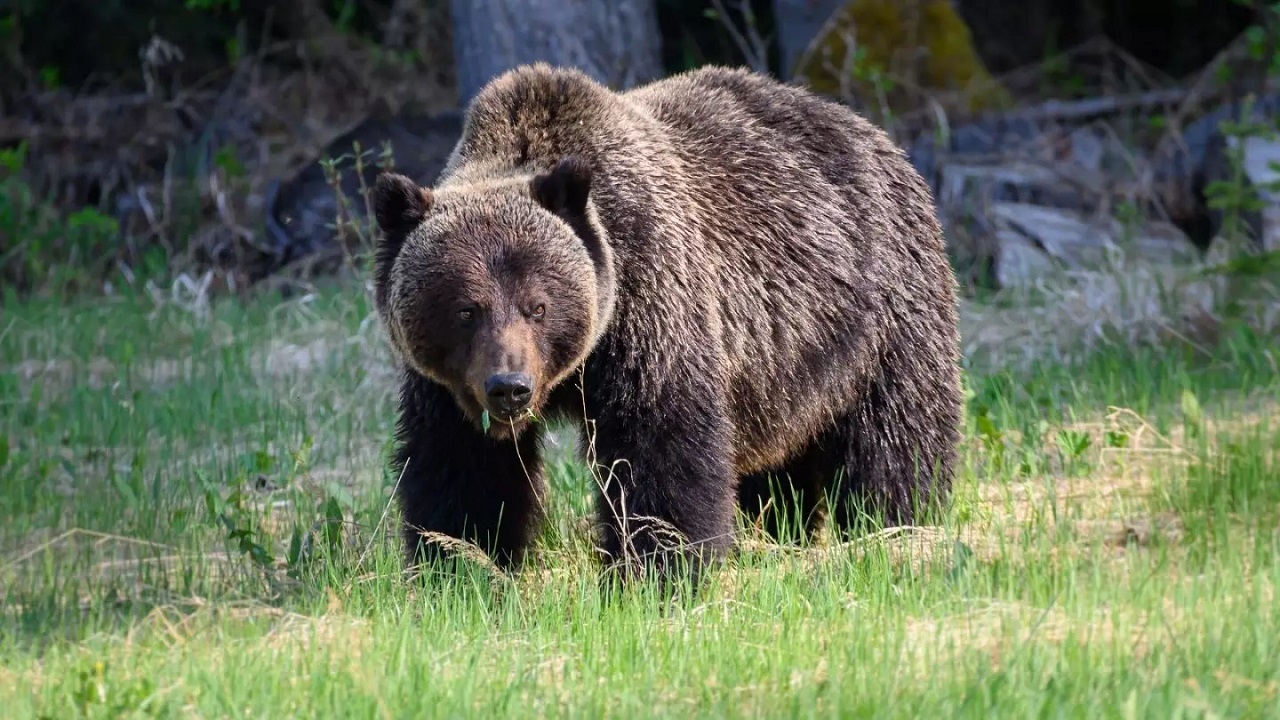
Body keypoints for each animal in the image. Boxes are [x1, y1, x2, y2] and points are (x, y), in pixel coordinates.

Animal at [371, 61, 962, 584]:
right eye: (465, 309)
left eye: (537, 305)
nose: (509, 388)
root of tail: (874, 133)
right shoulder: (446, 387)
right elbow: (463, 469)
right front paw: (462, 568)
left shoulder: (652, 305)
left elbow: (660, 448)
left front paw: (657, 571)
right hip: (783, 372)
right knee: (778, 466)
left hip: (879, 312)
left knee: (895, 436)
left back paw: (897, 531)